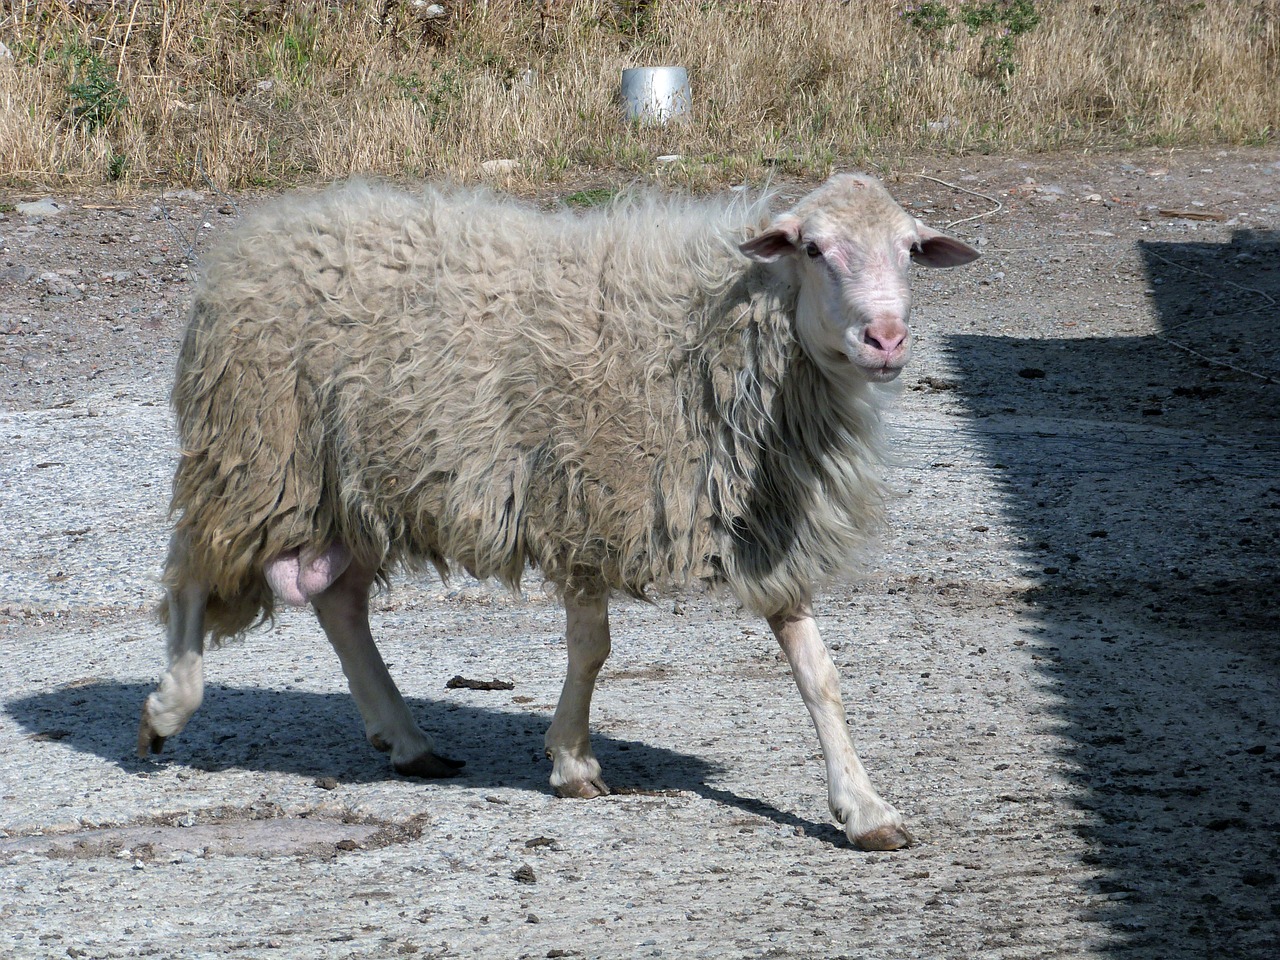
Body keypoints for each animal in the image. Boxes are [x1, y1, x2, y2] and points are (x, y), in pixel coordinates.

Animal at [137, 172, 977, 849]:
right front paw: (572, 762)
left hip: (351, 486)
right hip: (255, 456)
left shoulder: (762, 523)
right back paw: (167, 709)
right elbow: (592, 650)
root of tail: (263, 228)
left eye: (910, 250)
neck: (714, 337)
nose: (886, 338)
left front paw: (864, 809)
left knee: (337, 602)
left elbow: (818, 673)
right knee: (189, 573)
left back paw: (407, 740)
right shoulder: (580, 503)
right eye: (812, 248)